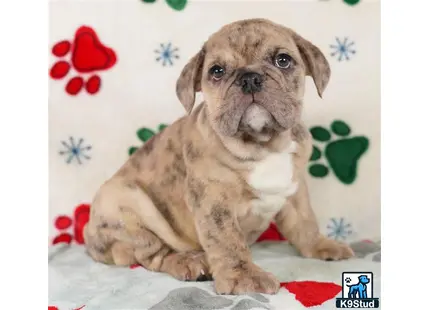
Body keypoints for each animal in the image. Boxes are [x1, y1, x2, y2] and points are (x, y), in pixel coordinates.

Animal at [83, 18, 352, 294]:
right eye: (217, 71)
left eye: (283, 60)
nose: (249, 78)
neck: (262, 145)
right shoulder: (213, 200)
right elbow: (227, 240)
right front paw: (243, 277)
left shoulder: (295, 189)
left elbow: (305, 222)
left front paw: (321, 245)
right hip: (126, 203)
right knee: (153, 253)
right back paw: (189, 262)